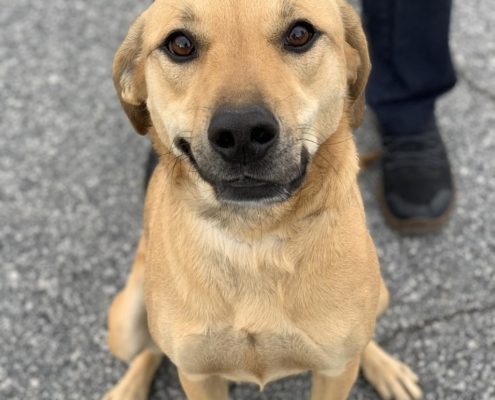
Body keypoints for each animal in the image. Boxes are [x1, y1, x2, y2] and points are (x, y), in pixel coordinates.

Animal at [103, 1, 422, 398]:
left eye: (299, 34)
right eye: (180, 44)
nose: (241, 133)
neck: (253, 239)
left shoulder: (334, 371)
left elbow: (349, 354)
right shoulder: (198, 376)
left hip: (380, 298)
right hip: (124, 325)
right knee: (149, 349)